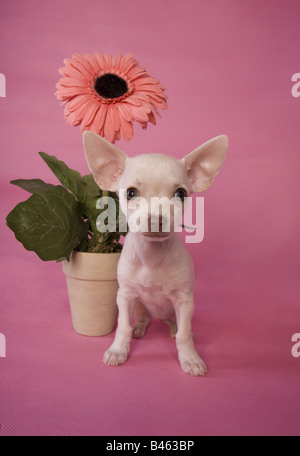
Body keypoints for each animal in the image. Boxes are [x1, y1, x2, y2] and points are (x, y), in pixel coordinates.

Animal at [83, 133, 226, 378]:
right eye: (131, 193)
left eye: (181, 194)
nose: (156, 219)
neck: (151, 258)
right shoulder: (125, 296)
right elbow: (122, 326)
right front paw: (118, 350)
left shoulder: (185, 301)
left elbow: (183, 335)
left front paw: (190, 358)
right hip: (140, 306)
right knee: (142, 318)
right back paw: (139, 328)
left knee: (178, 326)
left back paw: (176, 328)